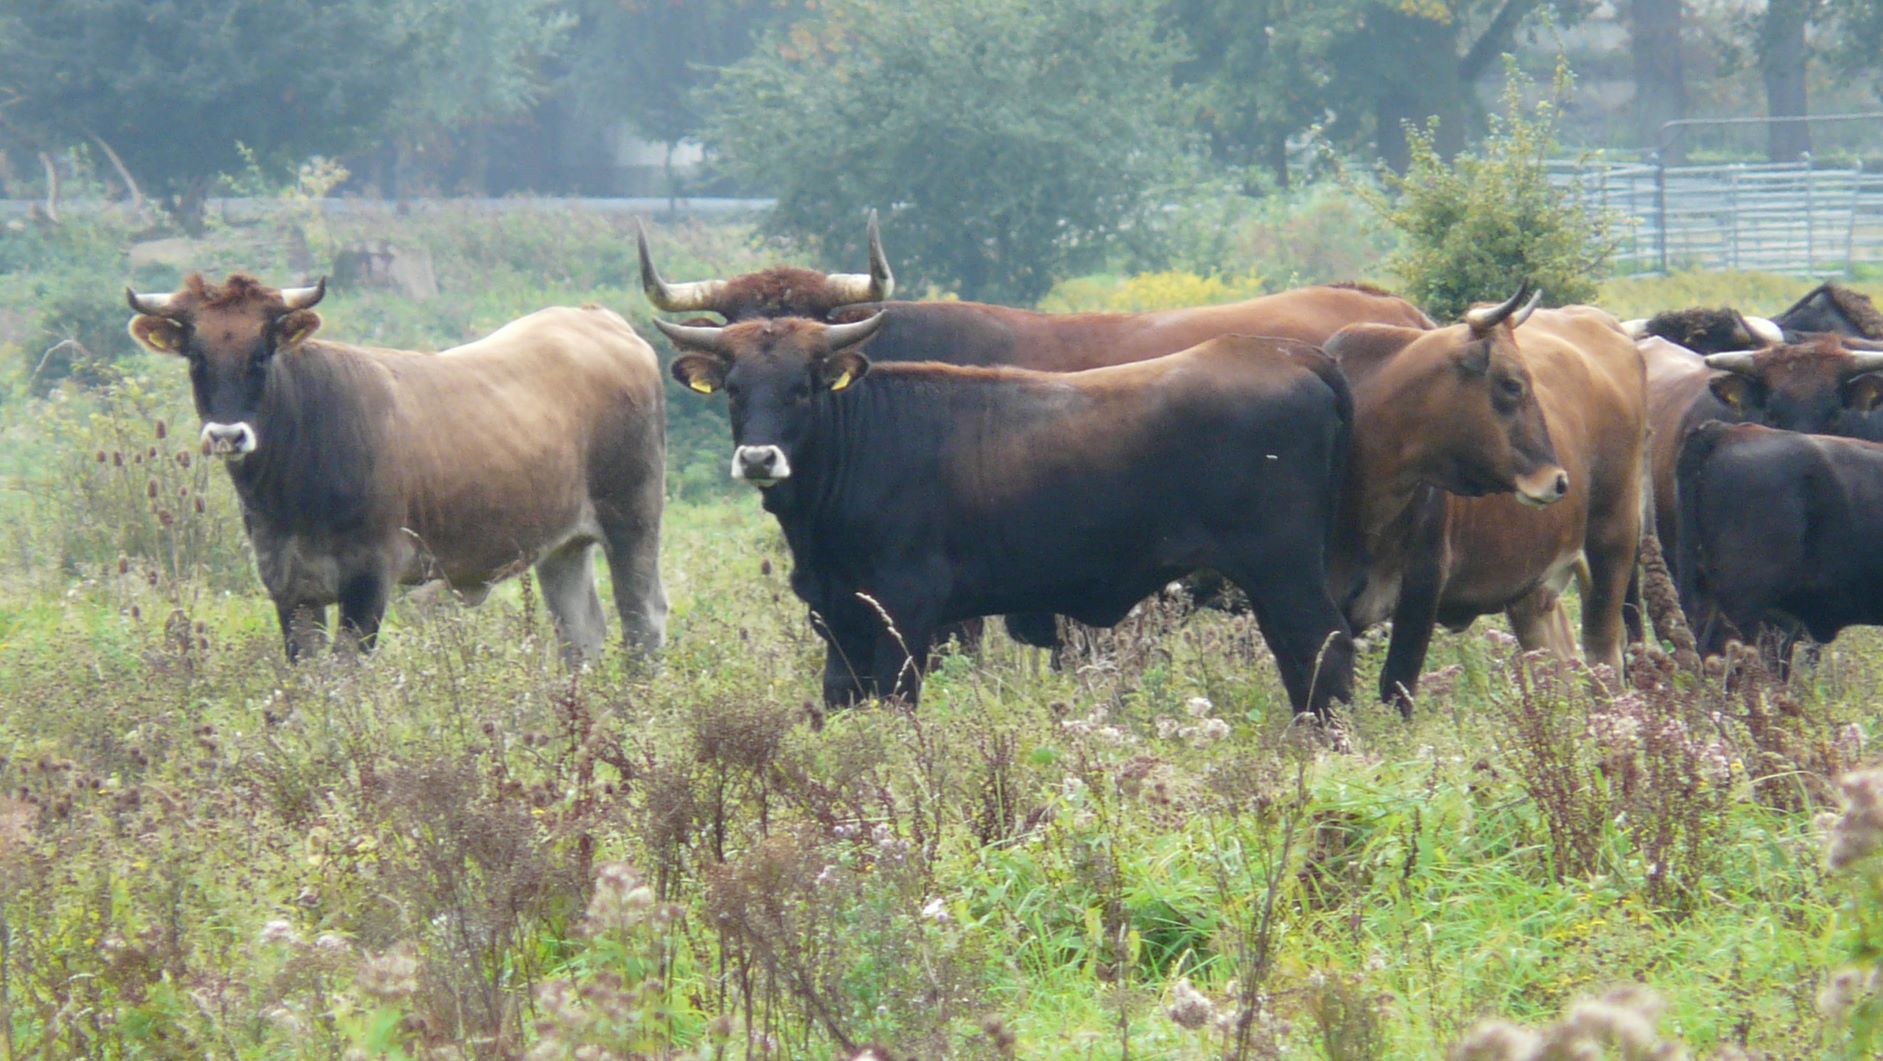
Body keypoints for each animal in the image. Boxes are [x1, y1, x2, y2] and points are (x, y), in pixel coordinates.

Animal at [127, 271, 670, 663]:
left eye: (262, 354)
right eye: (196, 358)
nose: (227, 435)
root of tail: (599, 320)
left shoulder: (370, 576)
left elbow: (346, 672)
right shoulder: (287, 585)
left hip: (634, 520)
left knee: (643, 621)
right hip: (561, 545)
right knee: (581, 634)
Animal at [659, 310, 1355, 719]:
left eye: (802, 386)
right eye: (734, 390)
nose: (758, 457)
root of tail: (1289, 354)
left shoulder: (906, 615)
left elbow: (896, 703)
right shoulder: (836, 615)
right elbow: (842, 701)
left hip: (1285, 569)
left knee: (1324, 645)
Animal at [1325, 288, 1649, 712]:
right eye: (1512, 384)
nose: (1558, 480)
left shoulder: (1423, 585)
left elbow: (1397, 686)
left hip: (1612, 545)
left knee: (1603, 655)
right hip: (1533, 590)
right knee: (1555, 662)